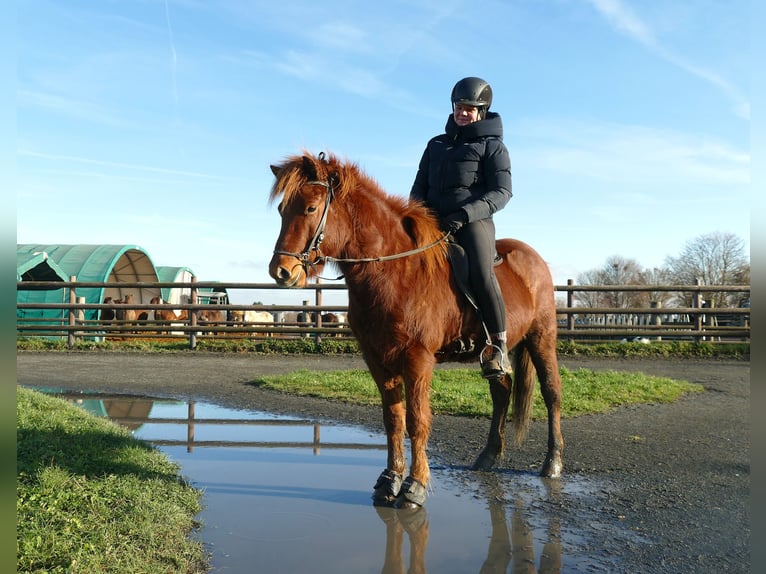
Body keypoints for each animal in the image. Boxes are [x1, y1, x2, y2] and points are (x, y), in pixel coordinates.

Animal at [268, 151, 563, 509]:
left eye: (311, 208)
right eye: (282, 210)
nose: (281, 271)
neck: (393, 271)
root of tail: (533, 258)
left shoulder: (417, 358)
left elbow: (417, 420)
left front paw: (414, 486)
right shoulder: (378, 359)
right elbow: (393, 420)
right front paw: (390, 480)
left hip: (542, 338)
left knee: (552, 393)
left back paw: (553, 463)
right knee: (501, 391)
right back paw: (488, 456)